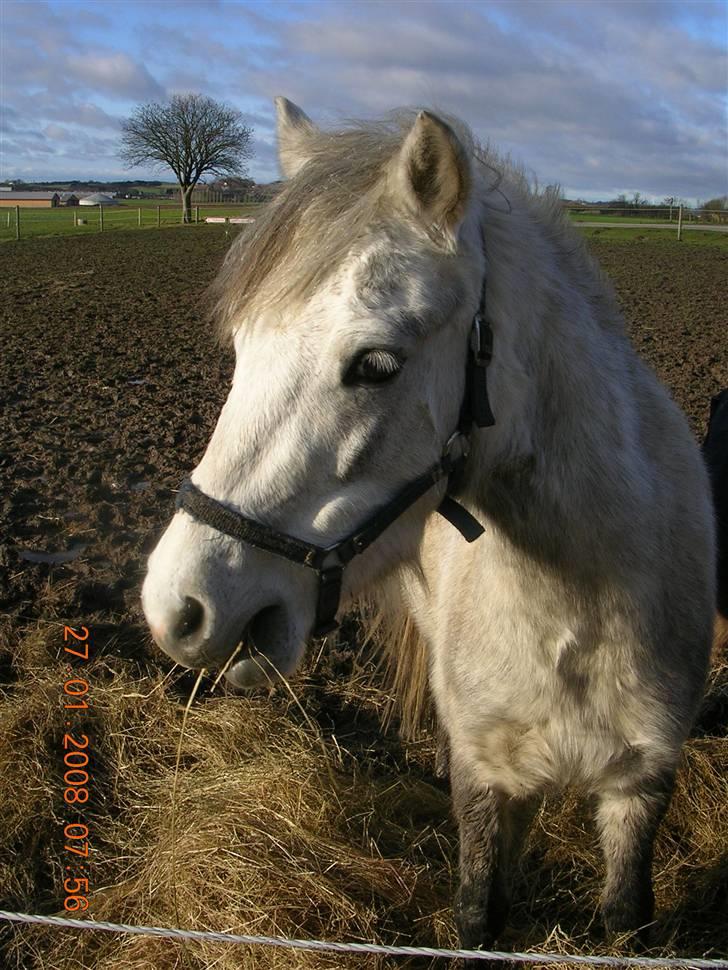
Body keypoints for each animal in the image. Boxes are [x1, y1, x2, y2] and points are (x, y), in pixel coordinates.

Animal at [144, 100, 716, 952]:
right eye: (243, 348)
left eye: (376, 364)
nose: (178, 608)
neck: (576, 619)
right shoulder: (484, 776)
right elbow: (478, 910)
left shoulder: (640, 786)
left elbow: (621, 918)